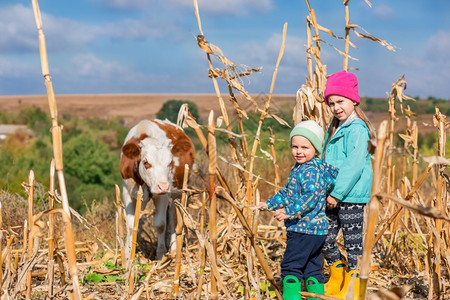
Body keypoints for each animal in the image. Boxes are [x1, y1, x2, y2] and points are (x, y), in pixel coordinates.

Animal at [119, 119, 195, 260]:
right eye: (146, 163)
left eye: (170, 163)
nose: (163, 186)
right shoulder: (127, 192)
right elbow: (131, 226)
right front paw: (127, 254)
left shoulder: (163, 196)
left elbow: (160, 224)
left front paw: (160, 255)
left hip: (177, 194)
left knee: (173, 218)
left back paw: (173, 249)